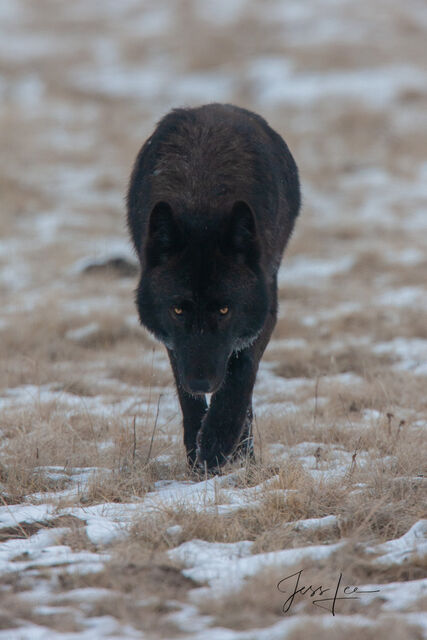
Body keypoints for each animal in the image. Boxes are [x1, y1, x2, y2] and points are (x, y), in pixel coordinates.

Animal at [127, 101, 300, 470]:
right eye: (178, 309)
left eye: (224, 309)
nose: (201, 381)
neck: (201, 201)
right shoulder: (173, 338)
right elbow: (186, 394)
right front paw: (199, 451)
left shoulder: (263, 312)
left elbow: (239, 379)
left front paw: (217, 445)